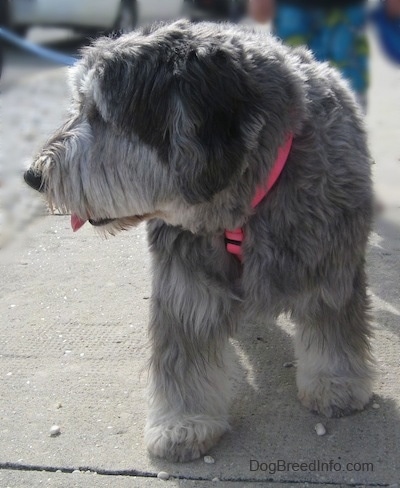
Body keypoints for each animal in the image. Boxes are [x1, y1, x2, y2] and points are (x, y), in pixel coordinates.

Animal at [24, 19, 376, 462]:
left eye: (100, 114)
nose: (32, 176)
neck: (247, 203)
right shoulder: (185, 283)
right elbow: (183, 357)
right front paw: (183, 423)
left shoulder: (330, 267)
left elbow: (332, 326)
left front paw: (336, 383)